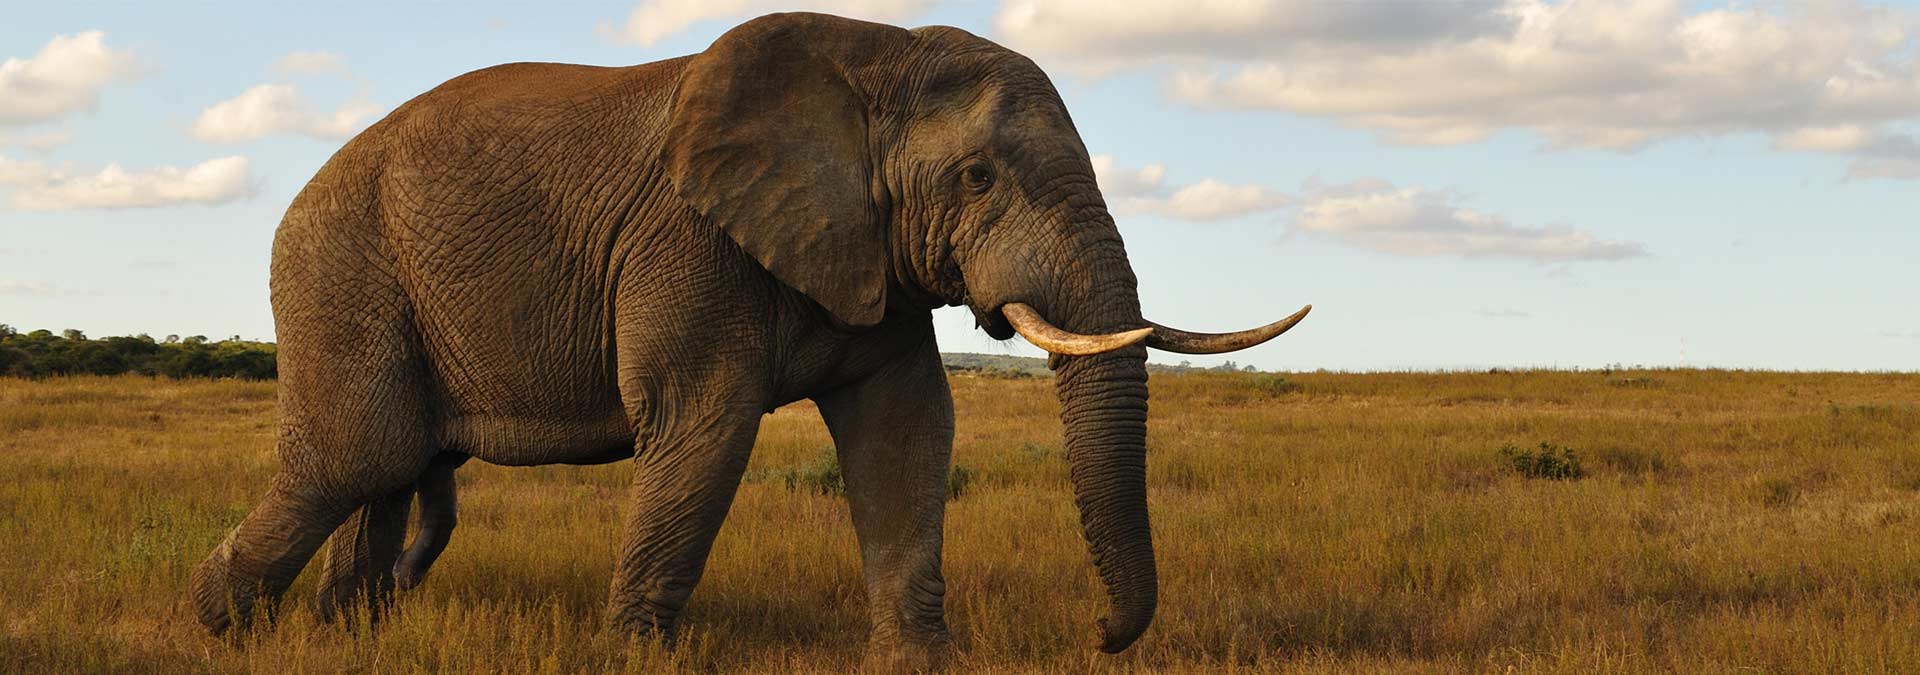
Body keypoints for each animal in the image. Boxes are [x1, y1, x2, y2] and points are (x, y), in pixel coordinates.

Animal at [188, 11, 1309, 669]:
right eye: (980, 177)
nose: (1100, 635)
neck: (875, 54)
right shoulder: (689, 240)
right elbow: (703, 426)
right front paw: (634, 661)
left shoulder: (868, 249)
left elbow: (907, 430)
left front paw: (923, 665)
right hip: (340, 275)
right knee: (359, 457)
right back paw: (213, 624)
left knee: (387, 475)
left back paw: (339, 633)